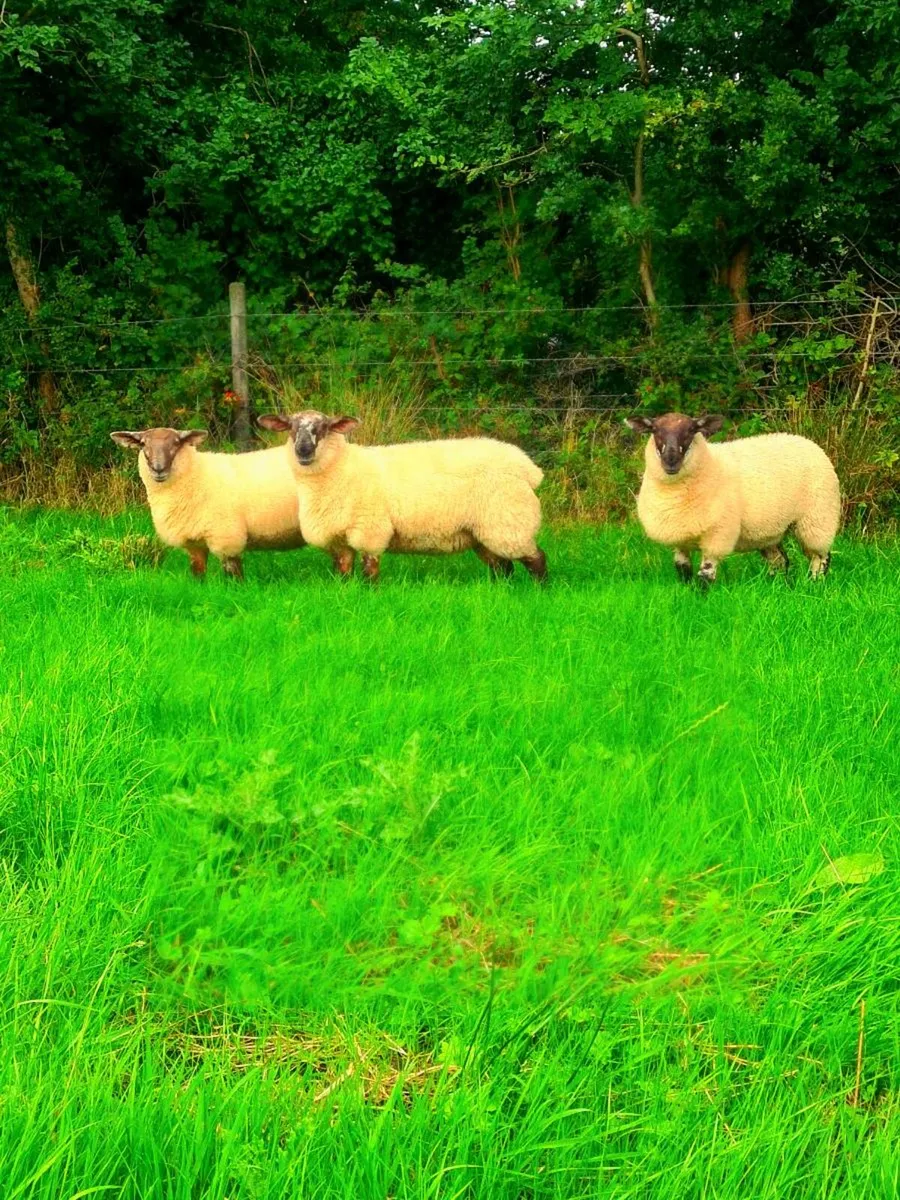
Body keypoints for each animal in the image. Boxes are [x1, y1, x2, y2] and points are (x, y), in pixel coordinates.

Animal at [110, 427, 354, 580]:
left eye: (177, 443)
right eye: (143, 444)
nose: (158, 469)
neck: (196, 475)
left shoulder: (226, 535)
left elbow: (233, 573)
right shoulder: (194, 543)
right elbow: (197, 573)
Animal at [256, 410, 547, 583]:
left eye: (325, 427)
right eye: (290, 428)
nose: (303, 450)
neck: (341, 469)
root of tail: (527, 467)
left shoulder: (370, 529)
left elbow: (370, 571)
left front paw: (369, 596)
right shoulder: (338, 539)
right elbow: (344, 572)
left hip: (509, 521)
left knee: (536, 559)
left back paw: (539, 592)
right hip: (484, 530)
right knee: (502, 567)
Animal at [625, 412, 841, 586]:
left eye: (692, 430)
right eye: (655, 430)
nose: (670, 460)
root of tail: (805, 441)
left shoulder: (717, 535)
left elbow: (705, 576)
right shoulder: (680, 538)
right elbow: (683, 570)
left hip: (817, 519)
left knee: (821, 557)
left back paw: (814, 584)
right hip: (768, 529)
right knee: (780, 560)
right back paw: (775, 587)